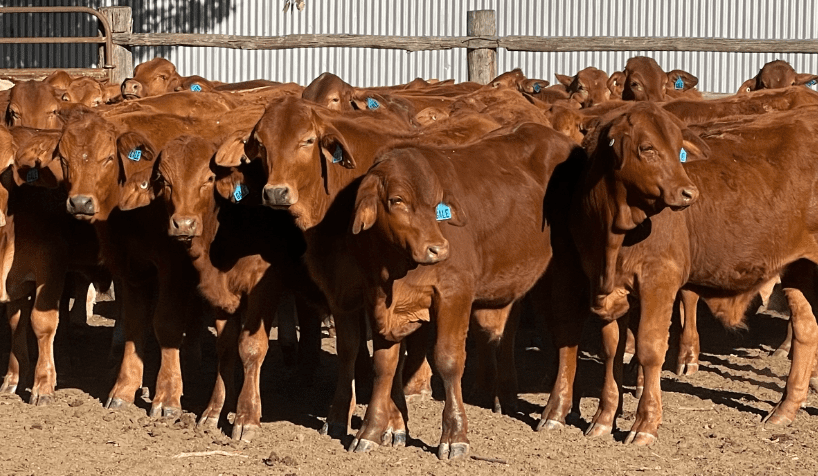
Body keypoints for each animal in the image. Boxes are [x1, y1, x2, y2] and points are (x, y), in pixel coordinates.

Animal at [346, 122, 581, 459]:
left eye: (437, 205)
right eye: (397, 200)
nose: (438, 249)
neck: (394, 268)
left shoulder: (454, 294)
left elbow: (448, 359)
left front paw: (455, 435)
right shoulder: (375, 299)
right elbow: (384, 366)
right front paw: (370, 431)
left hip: (564, 271)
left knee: (566, 332)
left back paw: (555, 411)